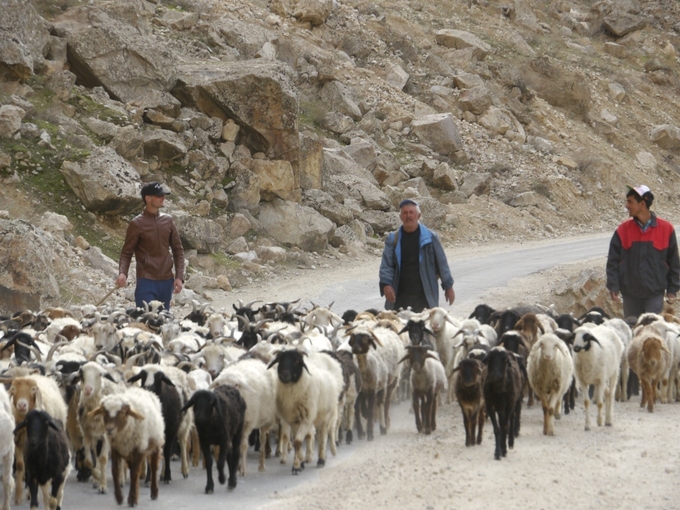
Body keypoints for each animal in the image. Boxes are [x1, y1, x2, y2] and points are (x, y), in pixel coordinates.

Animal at [7, 374, 67, 506]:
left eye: (33, 389)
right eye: (13, 389)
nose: (22, 405)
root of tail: (37, 375)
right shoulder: (17, 442)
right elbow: (20, 465)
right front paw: (18, 496)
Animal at [264, 346, 340, 474]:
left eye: (296, 361)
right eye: (280, 360)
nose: (285, 374)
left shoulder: (306, 418)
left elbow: (298, 441)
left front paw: (296, 466)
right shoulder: (294, 420)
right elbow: (296, 442)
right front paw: (300, 463)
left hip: (326, 416)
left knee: (323, 437)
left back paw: (321, 459)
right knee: (310, 435)